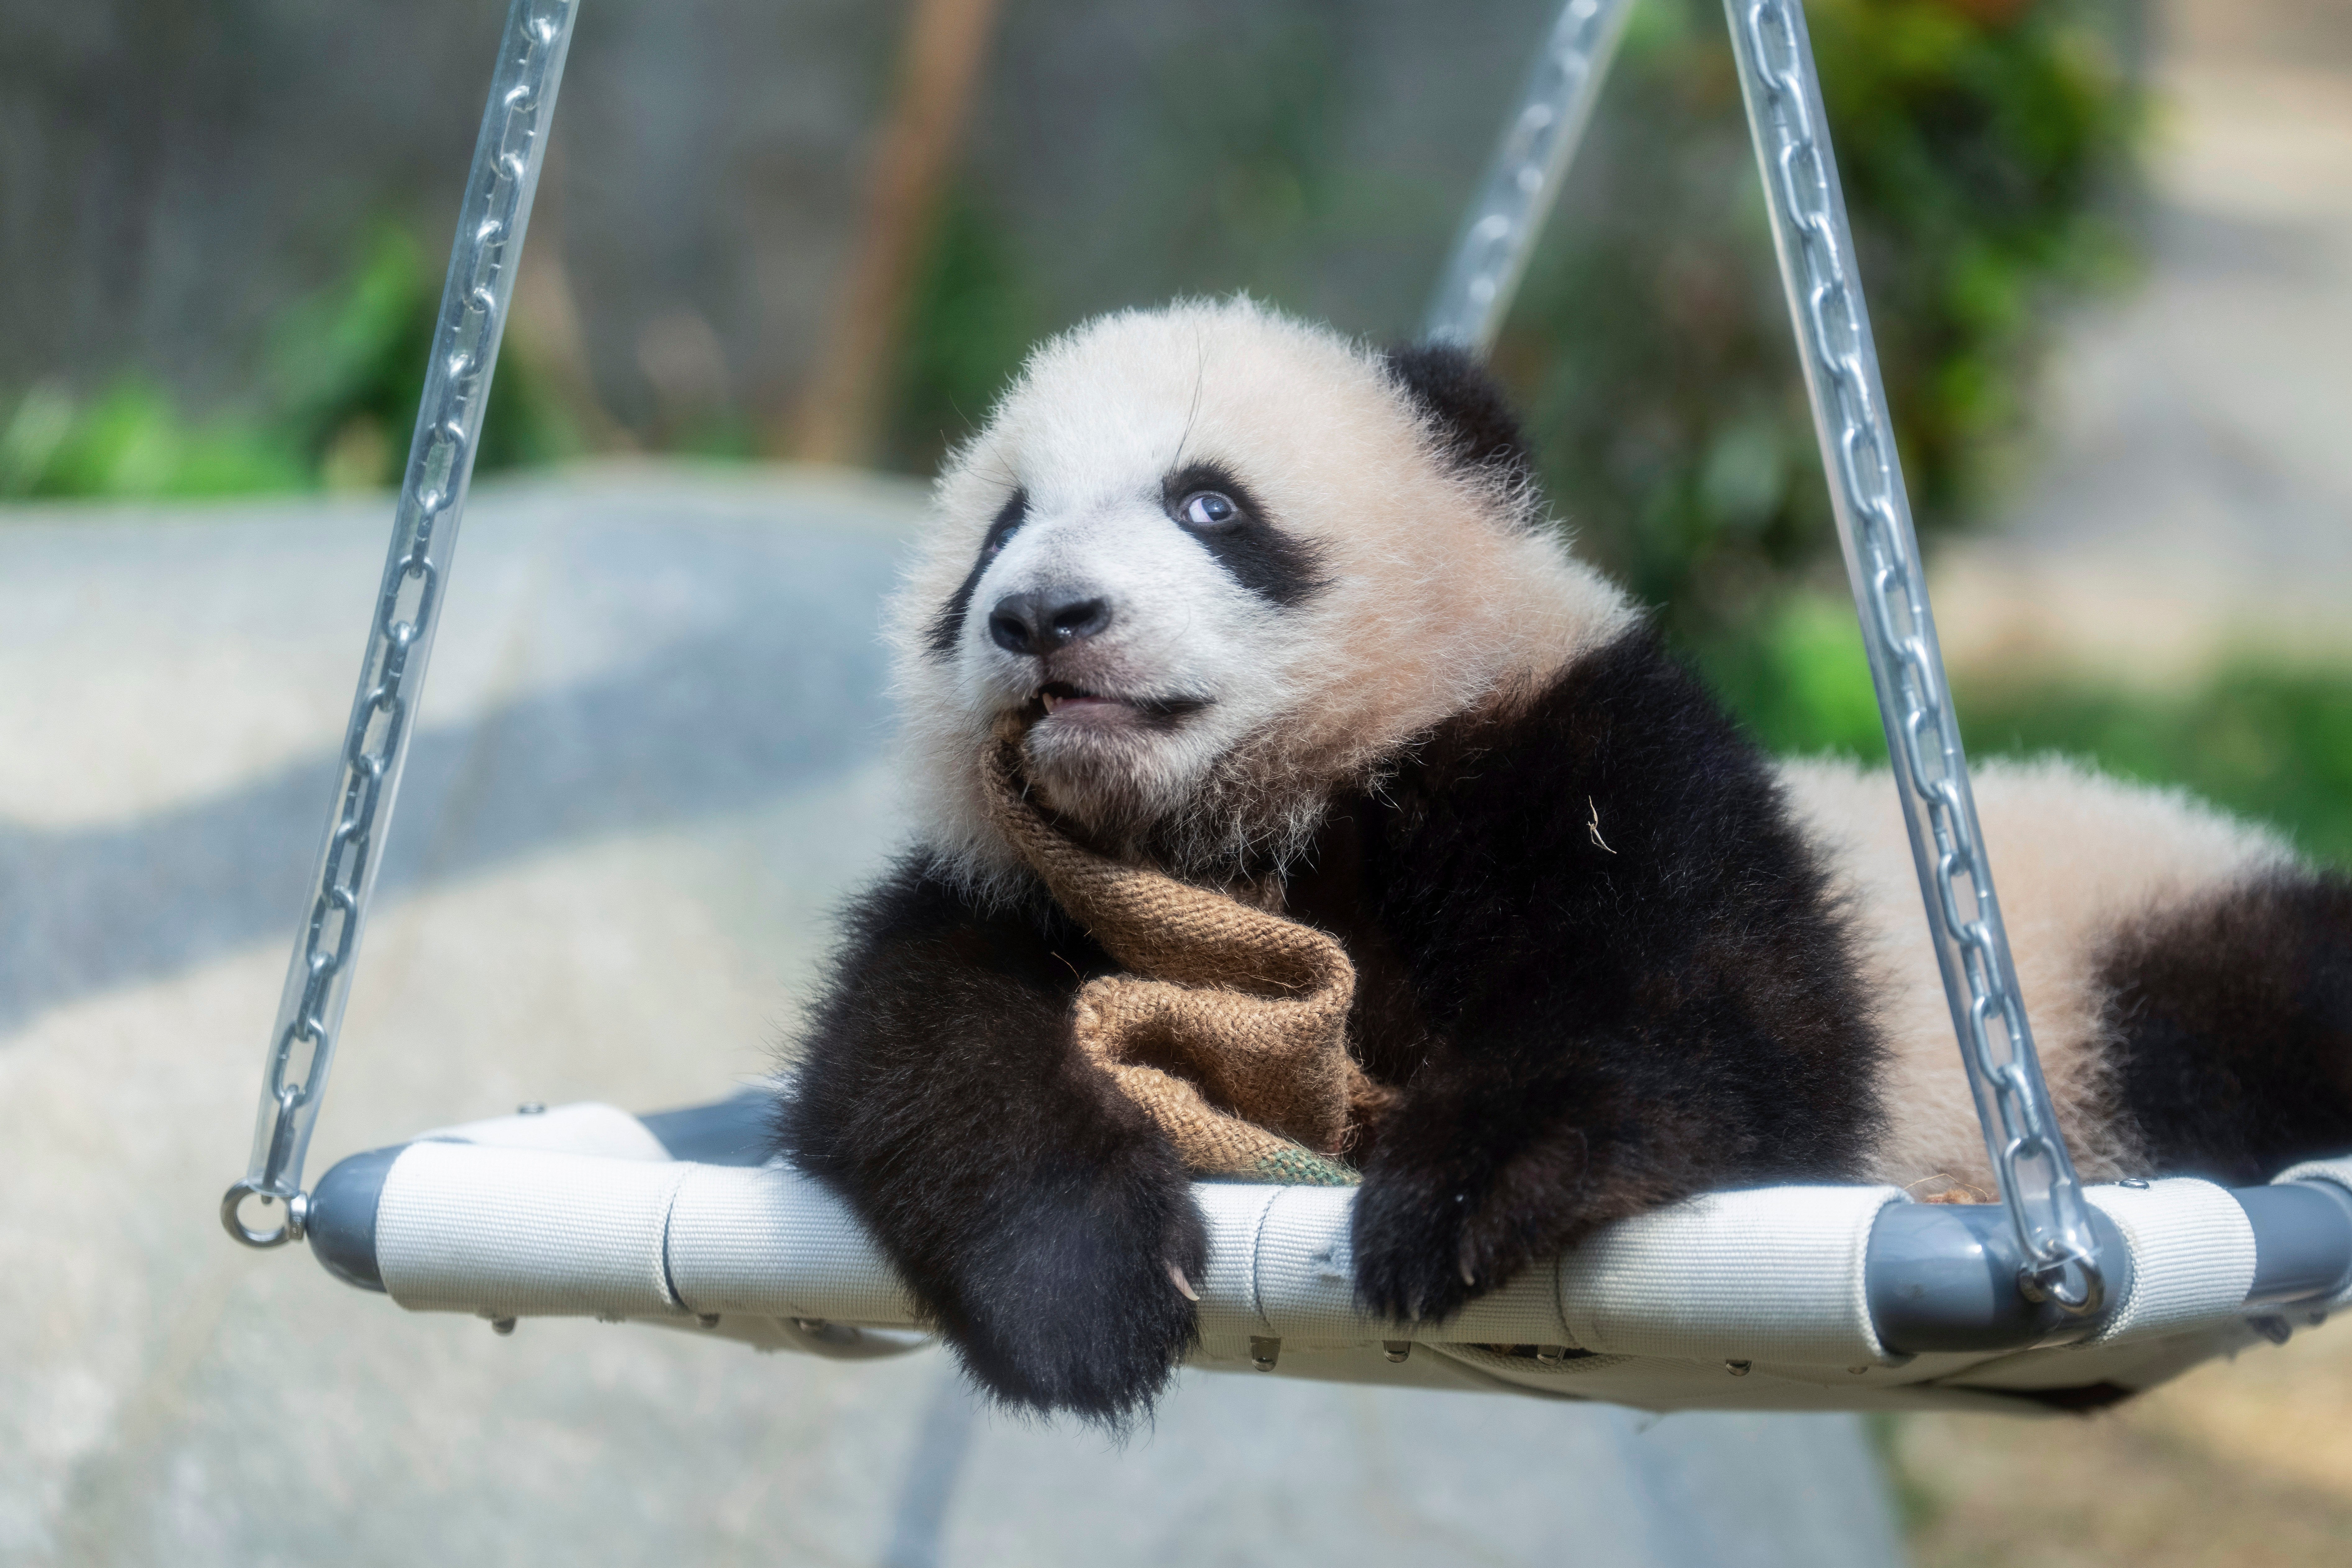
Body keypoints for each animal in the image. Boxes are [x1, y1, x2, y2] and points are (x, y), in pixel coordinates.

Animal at [777, 297, 2352, 1424]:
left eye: (1209, 505)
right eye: (997, 530)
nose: (1041, 615)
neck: (1255, 824)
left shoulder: (1587, 757)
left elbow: (1715, 1014)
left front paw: (1453, 1197)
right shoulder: (1035, 890)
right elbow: (917, 1046)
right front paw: (1084, 1290)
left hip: (2137, 943)